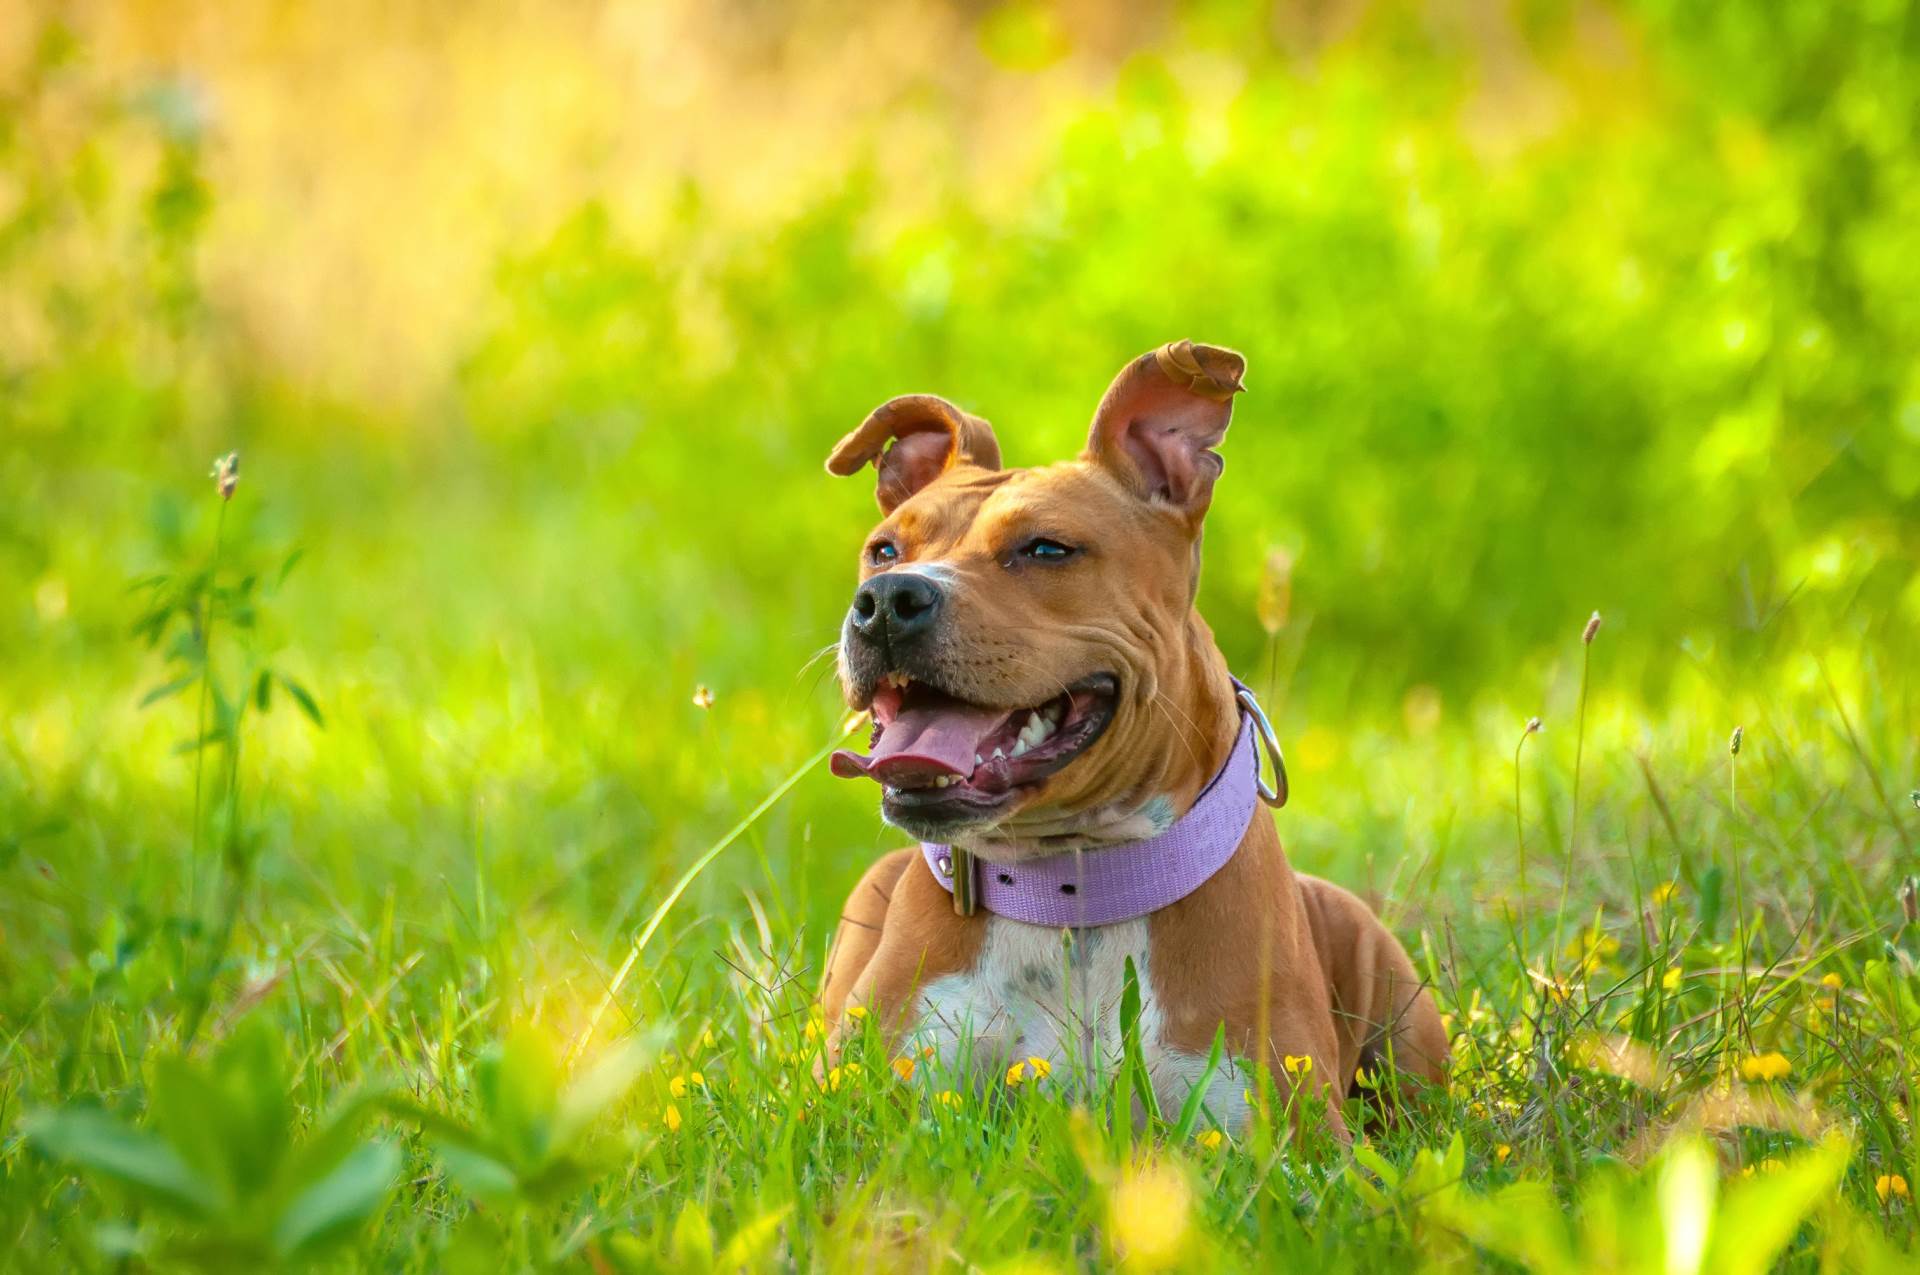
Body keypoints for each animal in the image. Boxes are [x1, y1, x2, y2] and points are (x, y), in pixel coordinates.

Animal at [810, 337, 1443, 1136]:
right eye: (885, 550)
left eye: (1047, 550)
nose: (887, 600)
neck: (1073, 886)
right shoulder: (870, 1110)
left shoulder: (1286, 1131)